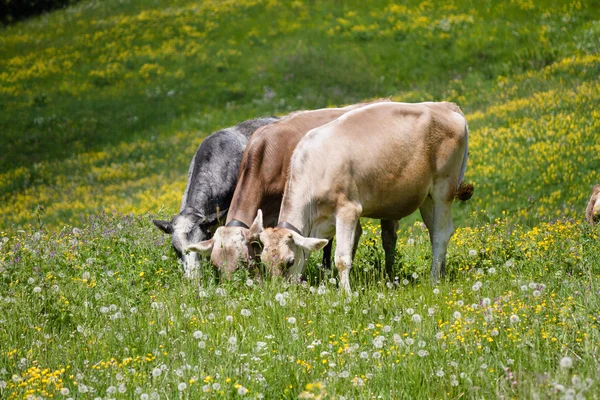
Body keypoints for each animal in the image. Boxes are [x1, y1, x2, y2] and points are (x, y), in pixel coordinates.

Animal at [255, 101, 472, 292]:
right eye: (264, 262)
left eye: (289, 261)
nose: (280, 292)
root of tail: (446, 106)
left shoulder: (348, 210)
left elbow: (342, 258)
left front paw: (346, 294)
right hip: (427, 197)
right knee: (435, 231)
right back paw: (441, 273)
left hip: (443, 187)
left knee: (441, 234)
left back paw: (434, 279)